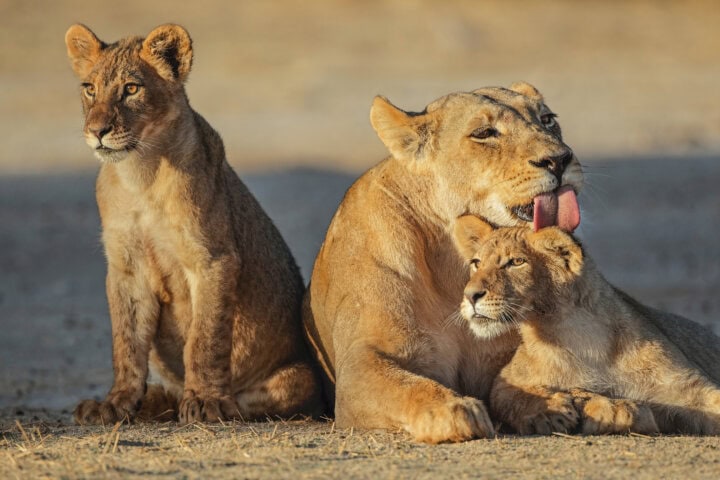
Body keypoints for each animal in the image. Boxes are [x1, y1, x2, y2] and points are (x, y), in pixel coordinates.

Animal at [65, 24, 322, 424]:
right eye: (89, 88)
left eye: (132, 89)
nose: (97, 131)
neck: (140, 174)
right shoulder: (126, 267)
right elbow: (126, 343)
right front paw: (114, 403)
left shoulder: (213, 259)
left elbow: (205, 338)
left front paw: (205, 400)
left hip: (301, 377)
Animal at [302, 83, 584, 442]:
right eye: (484, 133)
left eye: (547, 119)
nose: (560, 160)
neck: (454, 264)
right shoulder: (359, 364)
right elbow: (406, 386)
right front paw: (454, 409)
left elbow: (518, 378)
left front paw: (552, 405)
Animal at [453, 215, 720, 435]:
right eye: (476, 263)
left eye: (516, 262)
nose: (470, 295)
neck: (582, 337)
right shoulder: (507, 379)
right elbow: (515, 396)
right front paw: (554, 411)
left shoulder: (689, 389)